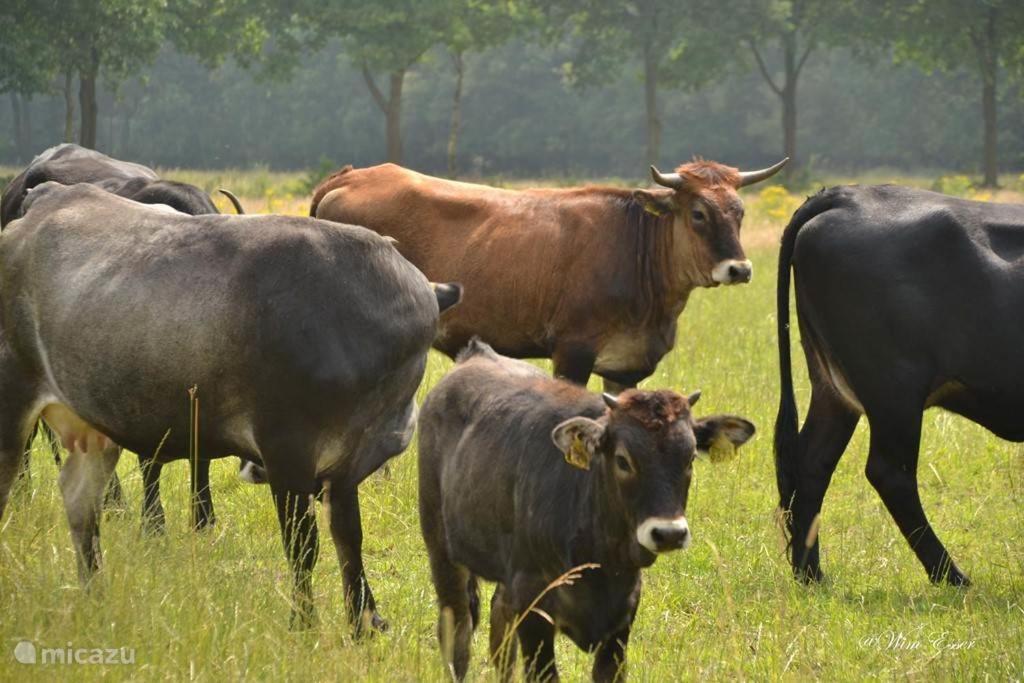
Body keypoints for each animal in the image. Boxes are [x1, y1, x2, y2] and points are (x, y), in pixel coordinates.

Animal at [0, 183, 460, 634]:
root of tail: (45, 198)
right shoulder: (287, 452)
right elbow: (303, 546)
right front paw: (304, 624)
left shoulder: (347, 464)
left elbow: (350, 539)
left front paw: (364, 622)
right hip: (15, 398)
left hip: (94, 426)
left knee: (81, 503)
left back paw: (95, 596)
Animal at [307, 158, 786, 393]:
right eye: (699, 213)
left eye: (740, 212)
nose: (739, 268)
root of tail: (352, 175)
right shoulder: (572, 350)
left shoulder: (627, 364)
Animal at [415, 339, 753, 679]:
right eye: (623, 460)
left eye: (690, 457)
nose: (668, 533)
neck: (601, 559)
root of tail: (475, 353)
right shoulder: (533, 604)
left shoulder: (621, 621)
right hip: (443, 553)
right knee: (458, 632)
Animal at [774, 187, 1024, 589]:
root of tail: (846, 195)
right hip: (894, 391)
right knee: (890, 473)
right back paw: (951, 575)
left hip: (834, 390)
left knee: (813, 462)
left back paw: (810, 573)